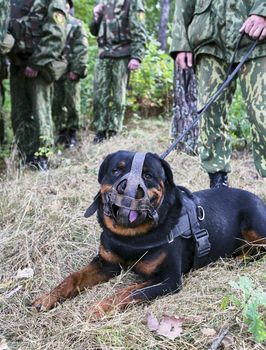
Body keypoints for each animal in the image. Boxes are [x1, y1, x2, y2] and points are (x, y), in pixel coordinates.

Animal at [31, 150, 266, 314]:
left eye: (148, 175)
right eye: (116, 170)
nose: (128, 187)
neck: (130, 237)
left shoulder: (170, 280)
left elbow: (129, 291)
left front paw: (98, 308)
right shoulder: (106, 263)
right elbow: (73, 277)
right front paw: (47, 297)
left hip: (253, 222)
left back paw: (240, 259)